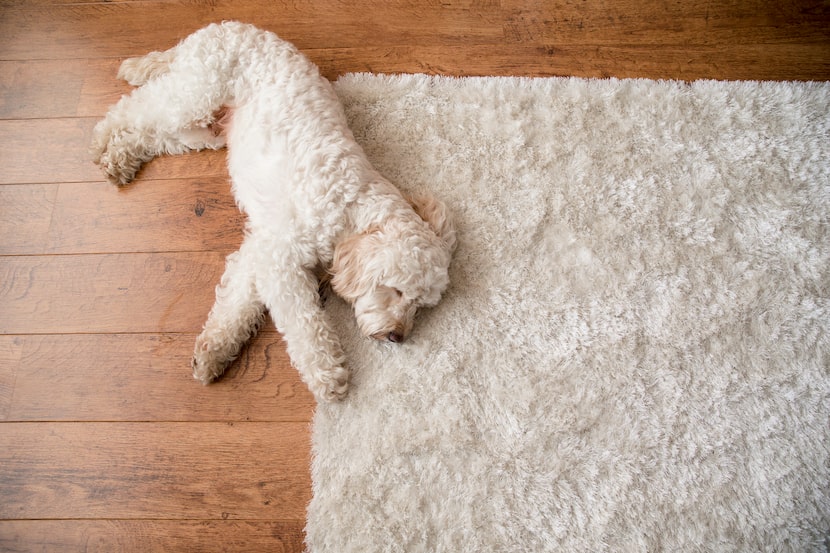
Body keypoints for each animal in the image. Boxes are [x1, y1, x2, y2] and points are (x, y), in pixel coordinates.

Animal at [89, 22, 462, 402]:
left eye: (420, 306)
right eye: (397, 291)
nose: (398, 336)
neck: (349, 208)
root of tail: (224, 26)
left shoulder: (260, 249)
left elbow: (237, 302)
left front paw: (214, 351)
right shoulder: (281, 257)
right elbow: (304, 323)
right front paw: (327, 374)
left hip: (203, 130)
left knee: (152, 134)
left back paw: (120, 157)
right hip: (192, 96)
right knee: (132, 108)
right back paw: (103, 140)